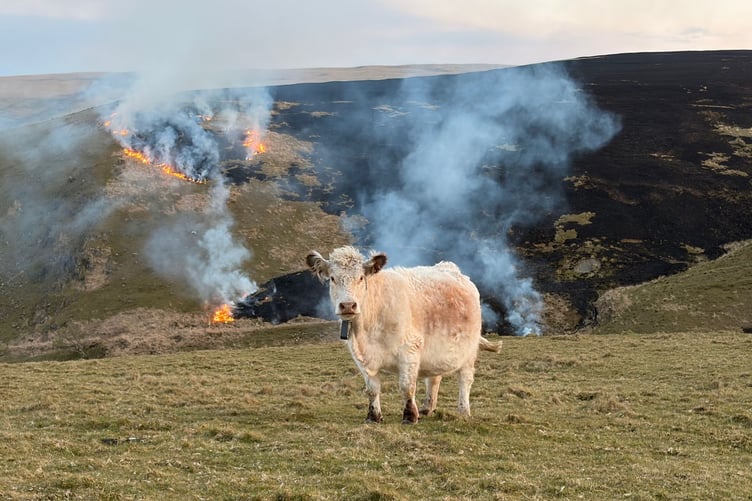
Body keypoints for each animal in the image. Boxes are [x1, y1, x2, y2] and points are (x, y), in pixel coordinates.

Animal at [306, 246, 501, 424]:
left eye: (361, 277)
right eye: (332, 278)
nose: (348, 305)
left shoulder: (410, 350)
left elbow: (407, 386)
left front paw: (410, 416)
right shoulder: (362, 360)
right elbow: (372, 389)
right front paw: (373, 416)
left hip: (469, 351)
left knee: (465, 380)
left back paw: (463, 411)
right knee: (434, 379)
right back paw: (427, 407)